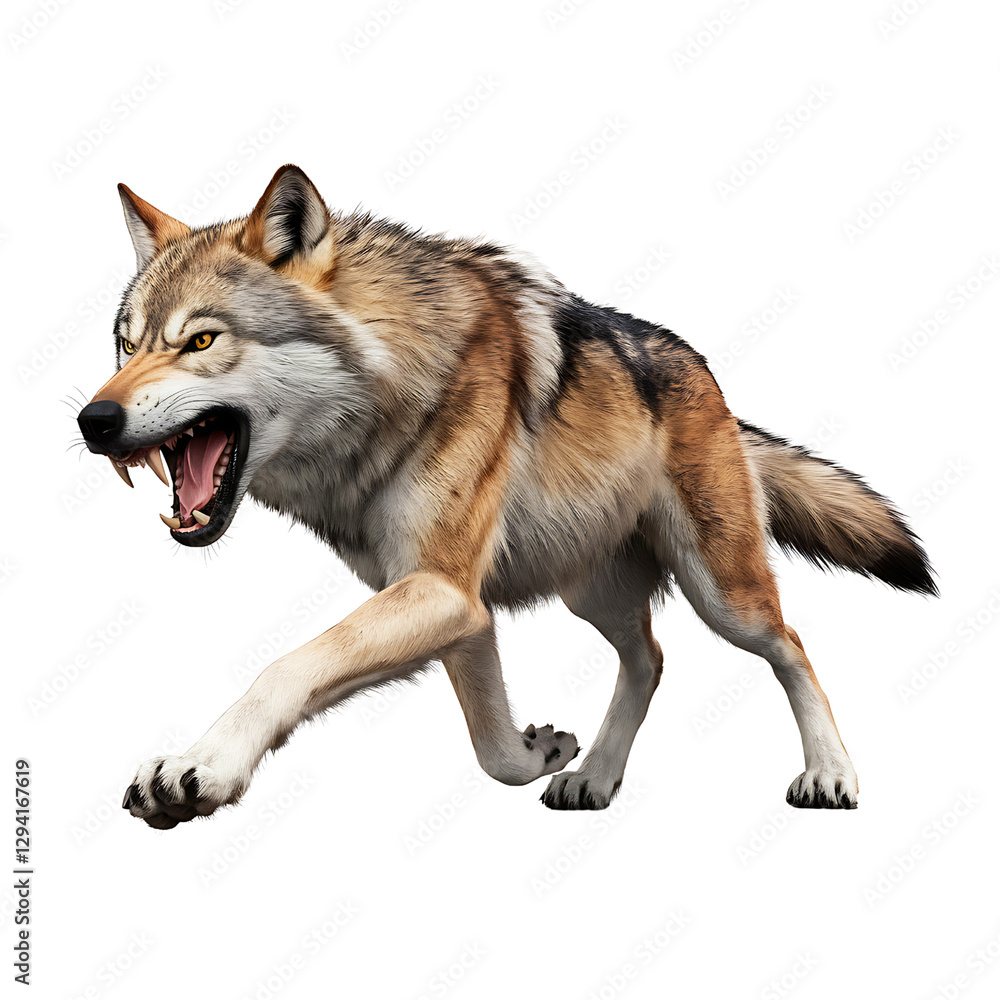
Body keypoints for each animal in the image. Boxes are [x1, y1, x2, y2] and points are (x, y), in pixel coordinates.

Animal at [76, 165, 935, 828]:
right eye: (125, 344)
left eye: (200, 341)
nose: (93, 421)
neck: (397, 391)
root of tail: (709, 377)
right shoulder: (457, 603)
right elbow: (492, 752)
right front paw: (541, 749)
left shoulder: (441, 590)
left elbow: (287, 666)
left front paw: (200, 766)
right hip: (591, 592)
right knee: (650, 657)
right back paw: (595, 776)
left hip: (722, 592)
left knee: (790, 644)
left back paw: (831, 773)